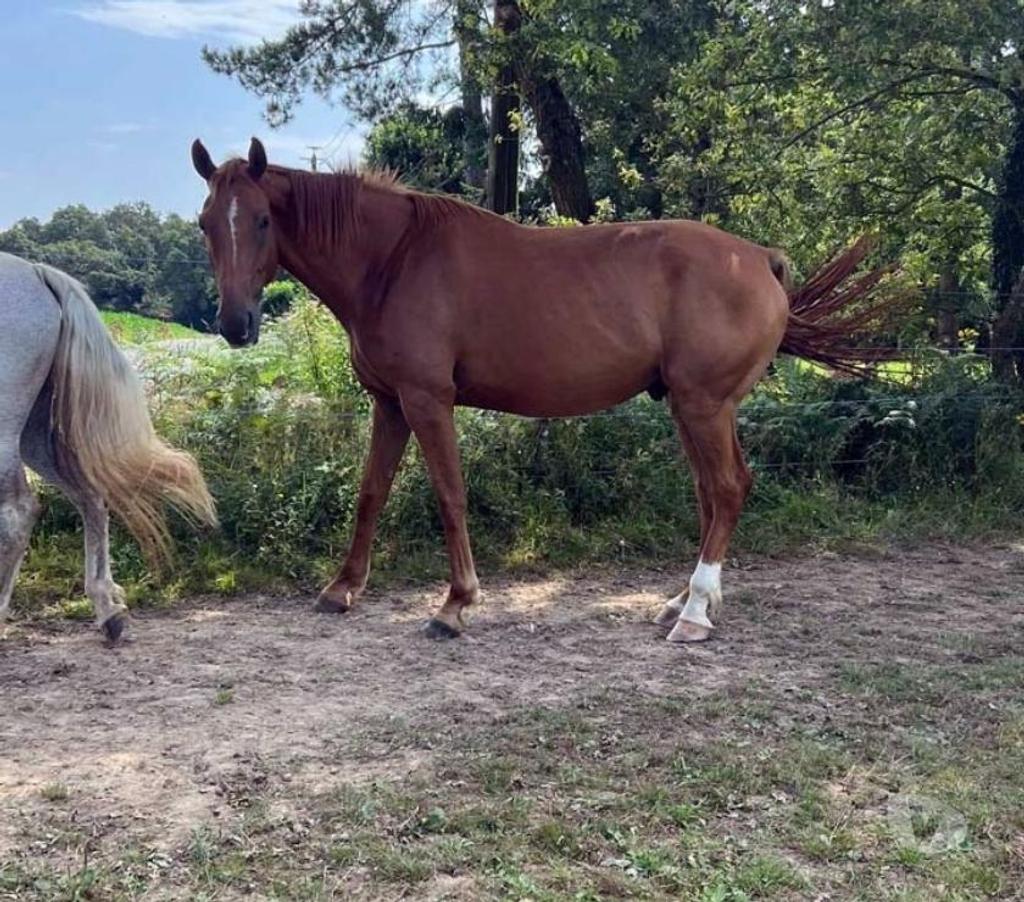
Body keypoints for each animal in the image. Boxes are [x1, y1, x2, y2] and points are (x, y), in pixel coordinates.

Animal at [191, 137, 889, 644]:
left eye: (262, 220)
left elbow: (450, 496)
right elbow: (370, 495)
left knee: (726, 488)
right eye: (204, 224)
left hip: (704, 405)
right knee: (712, 495)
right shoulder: (388, 403)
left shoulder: (426, 400)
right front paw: (341, 590)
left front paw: (454, 605)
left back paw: (693, 616)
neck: (391, 259)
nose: (235, 324)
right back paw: (683, 602)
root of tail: (760, 259)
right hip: (694, 409)